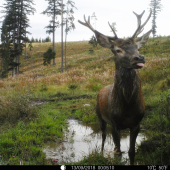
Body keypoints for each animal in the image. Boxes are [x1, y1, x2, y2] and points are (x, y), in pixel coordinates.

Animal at [79, 9, 152, 165]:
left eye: (137, 48)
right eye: (118, 50)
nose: (140, 58)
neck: (127, 107)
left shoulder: (136, 124)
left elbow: (131, 152)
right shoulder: (114, 123)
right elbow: (117, 153)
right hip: (99, 115)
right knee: (103, 136)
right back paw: (100, 153)